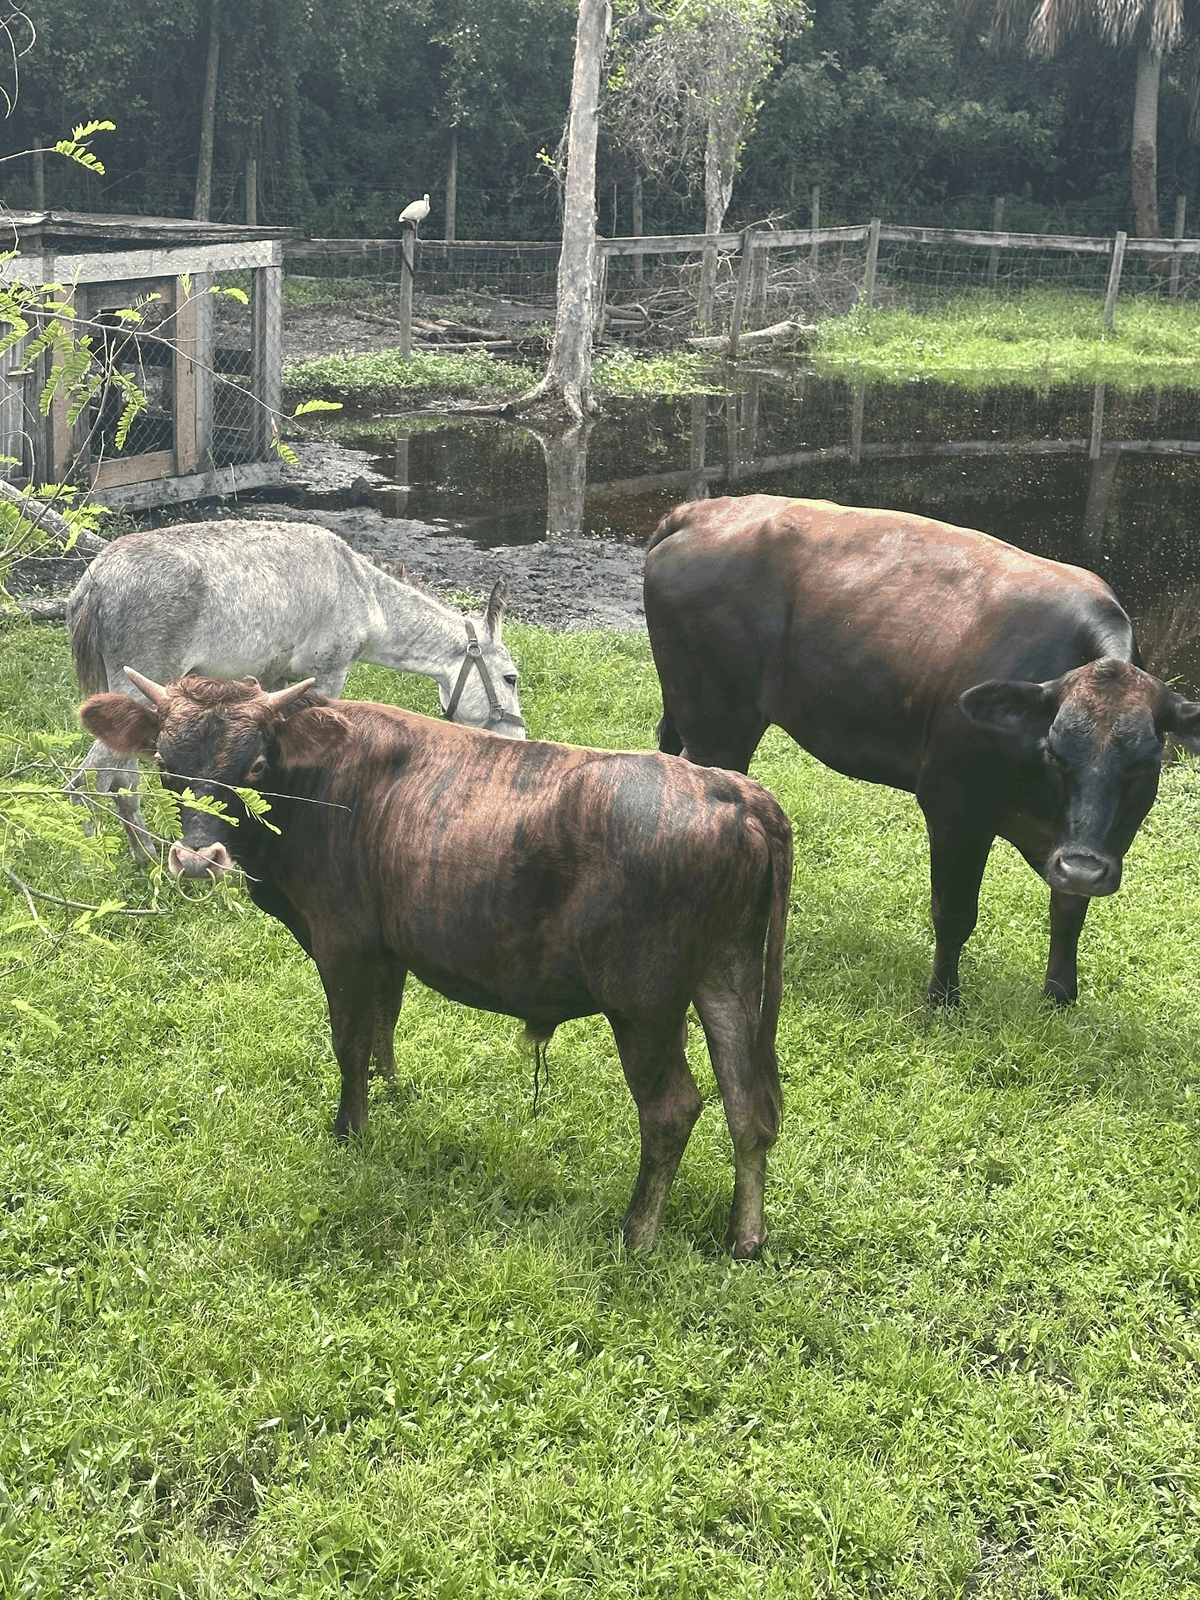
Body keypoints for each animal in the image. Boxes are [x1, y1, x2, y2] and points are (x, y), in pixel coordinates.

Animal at [77, 671, 793, 1257]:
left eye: (253, 766)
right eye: (165, 764)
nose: (198, 860)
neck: (315, 785)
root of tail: (733, 790)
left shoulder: (343, 942)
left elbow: (349, 1041)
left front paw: (350, 1132)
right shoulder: (386, 946)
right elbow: (383, 1026)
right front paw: (392, 1096)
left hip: (643, 999)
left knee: (673, 1107)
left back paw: (637, 1236)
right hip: (728, 971)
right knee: (748, 1103)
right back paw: (746, 1238)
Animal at [643, 494, 1200, 1006]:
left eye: (1147, 762)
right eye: (1055, 752)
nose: (1082, 867)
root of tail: (704, 510)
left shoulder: (1086, 843)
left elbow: (1069, 912)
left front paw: (1060, 997)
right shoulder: (953, 803)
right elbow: (954, 913)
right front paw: (942, 999)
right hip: (718, 723)